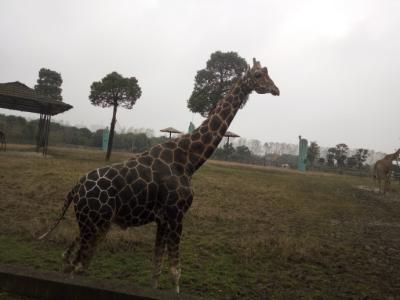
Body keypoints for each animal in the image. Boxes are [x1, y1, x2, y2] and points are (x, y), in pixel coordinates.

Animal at [39, 58, 280, 292]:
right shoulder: (176, 214)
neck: (189, 160)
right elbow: (175, 271)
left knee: (71, 259)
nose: (276, 89)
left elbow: (157, 267)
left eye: (269, 73)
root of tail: (74, 189)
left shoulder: (163, 218)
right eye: (258, 75)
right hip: (93, 224)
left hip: (95, 225)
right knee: (77, 263)